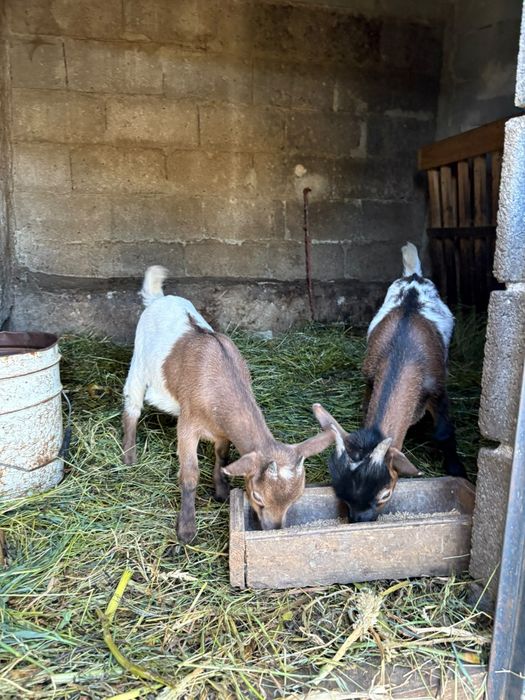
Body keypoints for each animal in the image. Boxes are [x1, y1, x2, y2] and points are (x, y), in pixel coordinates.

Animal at [122, 266, 334, 543]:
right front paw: (186, 529)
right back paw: (128, 455)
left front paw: (221, 492)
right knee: (132, 404)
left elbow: (223, 456)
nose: (272, 528)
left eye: (297, 497)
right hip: (139, 362)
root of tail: (159, 299)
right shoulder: (188, 425)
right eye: (257, 496)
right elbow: (189, 475)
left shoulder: (222, 429)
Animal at [313, 242, 466, 523]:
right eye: (341, 494)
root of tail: (413, 277)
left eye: (385, 494)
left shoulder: (438, 388)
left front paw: (456, 468)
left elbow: (443, 432)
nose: (360, 521)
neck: (402, 352)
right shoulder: (370, 378)